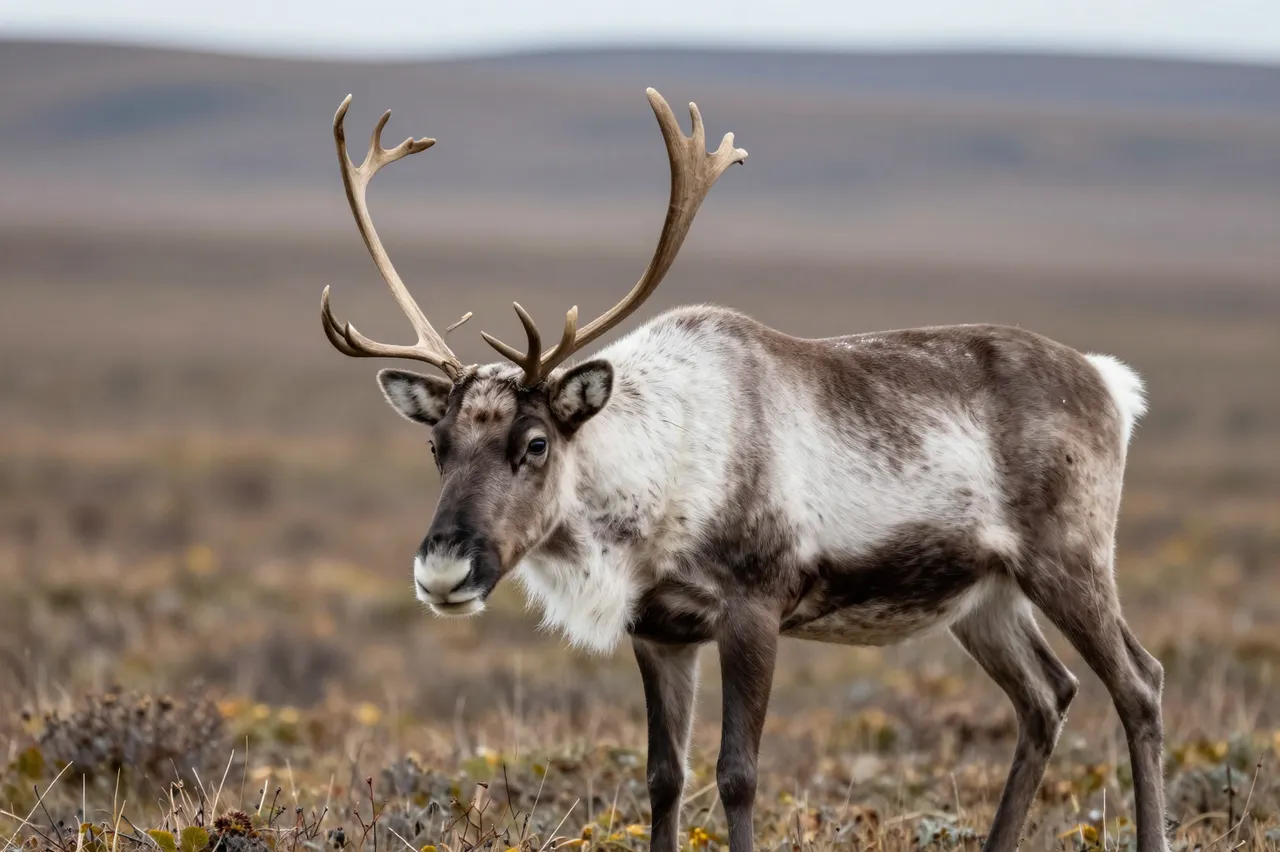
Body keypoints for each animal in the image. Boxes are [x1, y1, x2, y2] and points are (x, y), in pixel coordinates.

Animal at [319, 89, 1168, 852]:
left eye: (534, 443)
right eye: (437, 446)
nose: (443, 570)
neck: (651, 484)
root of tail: (1110, 383)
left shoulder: (754, 609)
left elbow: (737, 774)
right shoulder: (660, 631)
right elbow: (664, 776)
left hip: (1069, 559)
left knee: (1139, 684)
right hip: (985, 595)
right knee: (1046, 696)